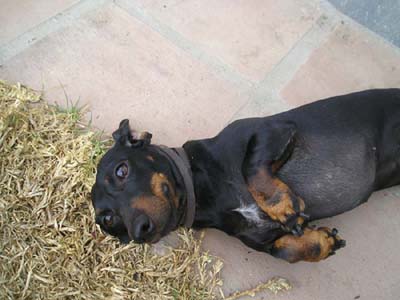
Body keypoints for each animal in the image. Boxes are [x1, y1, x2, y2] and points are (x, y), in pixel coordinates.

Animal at [90, 89, 400, 262]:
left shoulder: (272, 130)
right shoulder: (262, 238)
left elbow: (250, 167)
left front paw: (281, 205)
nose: (139, 231)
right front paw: (322, 243)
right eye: (108, 220)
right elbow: (283, 251)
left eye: (121, 170)